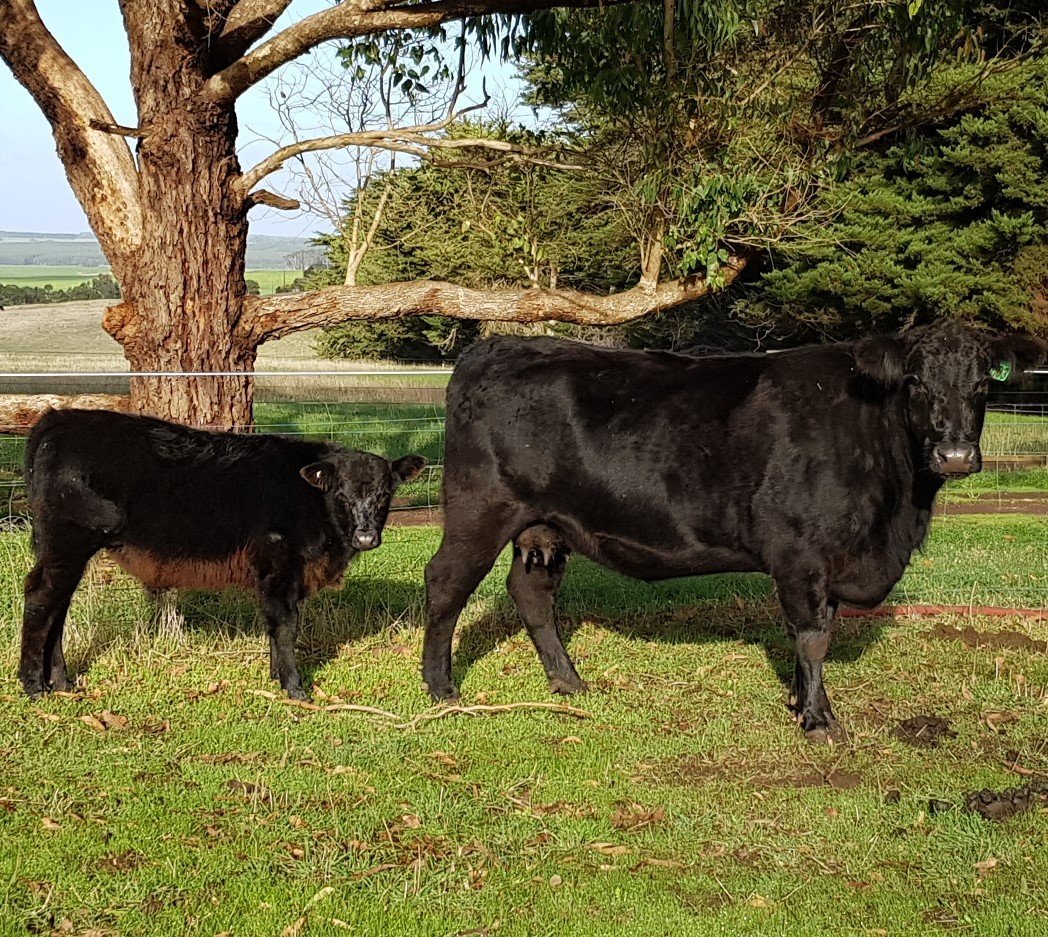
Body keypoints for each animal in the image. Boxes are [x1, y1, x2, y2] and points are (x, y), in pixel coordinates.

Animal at [19, 409, 426, 700]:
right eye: (340, 493)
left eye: (386, 493)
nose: (366, 536)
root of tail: (59, 419)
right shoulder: (279, 563)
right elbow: (285, 624)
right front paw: (295, 688)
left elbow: (274, 623)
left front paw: (276, 675)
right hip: (66, 543)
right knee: (41, 600)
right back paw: (33, 685)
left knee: (58, 608)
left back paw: (62, 682)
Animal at [423, 323, 1046, 742]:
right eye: (914, 380)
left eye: (983, 384)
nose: (956, 454)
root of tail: (500, 346)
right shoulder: (800, 552)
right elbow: (812, 636)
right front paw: (819, 720)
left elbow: (814, 633)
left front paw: (800, 699)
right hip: (479, 510)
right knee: (445, 585)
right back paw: (442, 689)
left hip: (544, 527)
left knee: (532, 594)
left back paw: (568, 682)